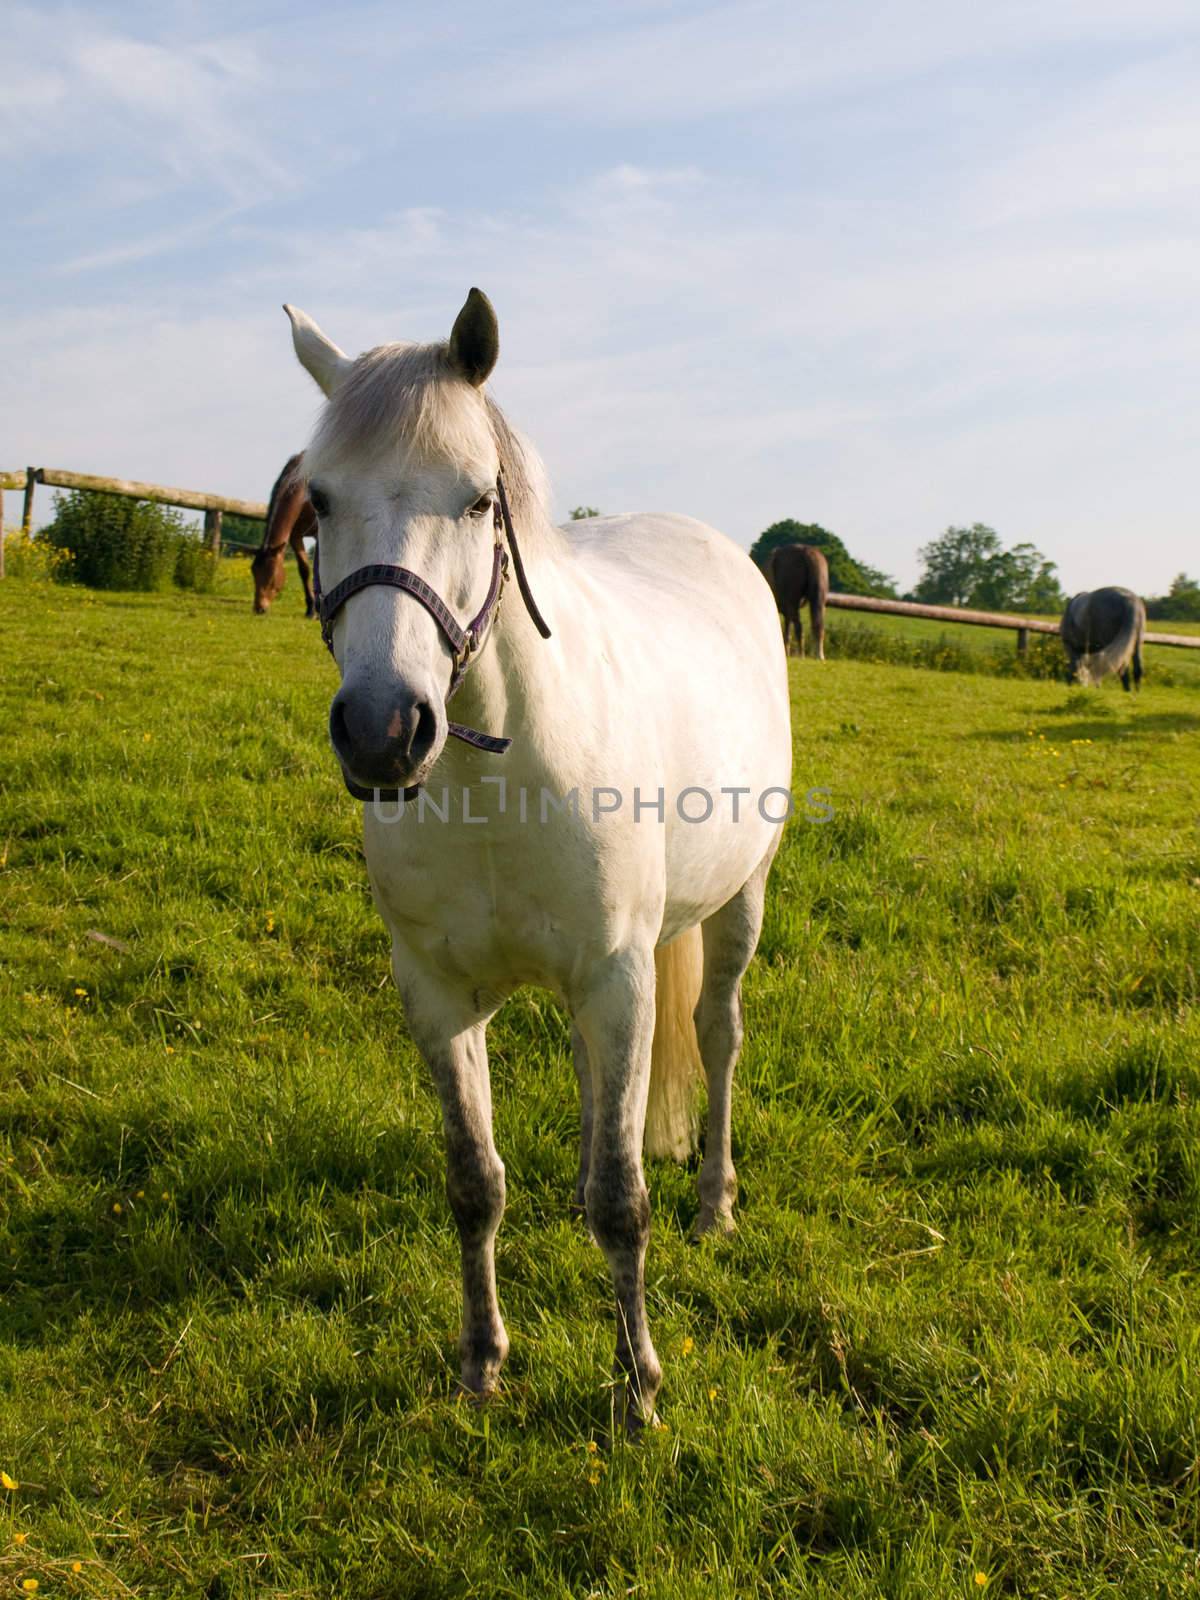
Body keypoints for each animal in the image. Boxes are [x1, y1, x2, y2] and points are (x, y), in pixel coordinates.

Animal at [249, 460, 316, 620]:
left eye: (272, 574)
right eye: (253, 571)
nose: (259, 608)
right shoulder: (295, 536)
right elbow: (304, 570)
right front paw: (311, 609)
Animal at [281, 284, 790, 1427]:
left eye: (480, 500)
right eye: (320, 501)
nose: (384, 730)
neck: (496, 779)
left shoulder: (618, 973)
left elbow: (623, 1199)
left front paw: (639, 1387)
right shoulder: (437, 994)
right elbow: (476, 1180)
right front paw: (482, 1360)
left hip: (737, 904)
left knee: (720, 1037)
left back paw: (717, 1202)